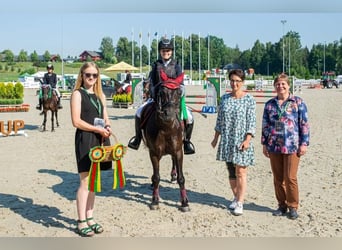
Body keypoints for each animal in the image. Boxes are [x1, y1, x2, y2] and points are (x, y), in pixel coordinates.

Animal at [141, 71, 190, 212]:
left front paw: (184, 203)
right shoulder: (153, 153)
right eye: (161, 92)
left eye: (179, 93)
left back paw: (173, 175)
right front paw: (155, 201)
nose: (168, 115)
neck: (166, 127)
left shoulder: (178, 151)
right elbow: (156, 177)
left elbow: (181, 178)